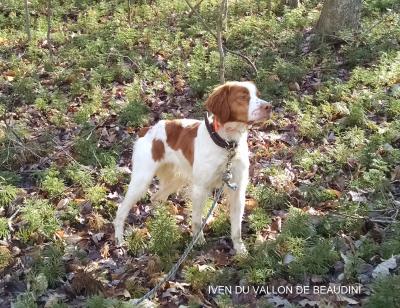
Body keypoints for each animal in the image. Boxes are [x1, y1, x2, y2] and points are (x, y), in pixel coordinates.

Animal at [114, 80, 274, 254]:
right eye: (243, 97)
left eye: (257, 94)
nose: (269, 106)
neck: (227, 144)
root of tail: (147, 130)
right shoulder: (200, 188)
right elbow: (197, 220)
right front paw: (198, 241)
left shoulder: (237, 188)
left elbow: (236, 227)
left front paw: (240, 250)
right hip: (142, 180)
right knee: (121, 211)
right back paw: (120, 241)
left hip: (177, 179)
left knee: (155, 198)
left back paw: (163, 221)